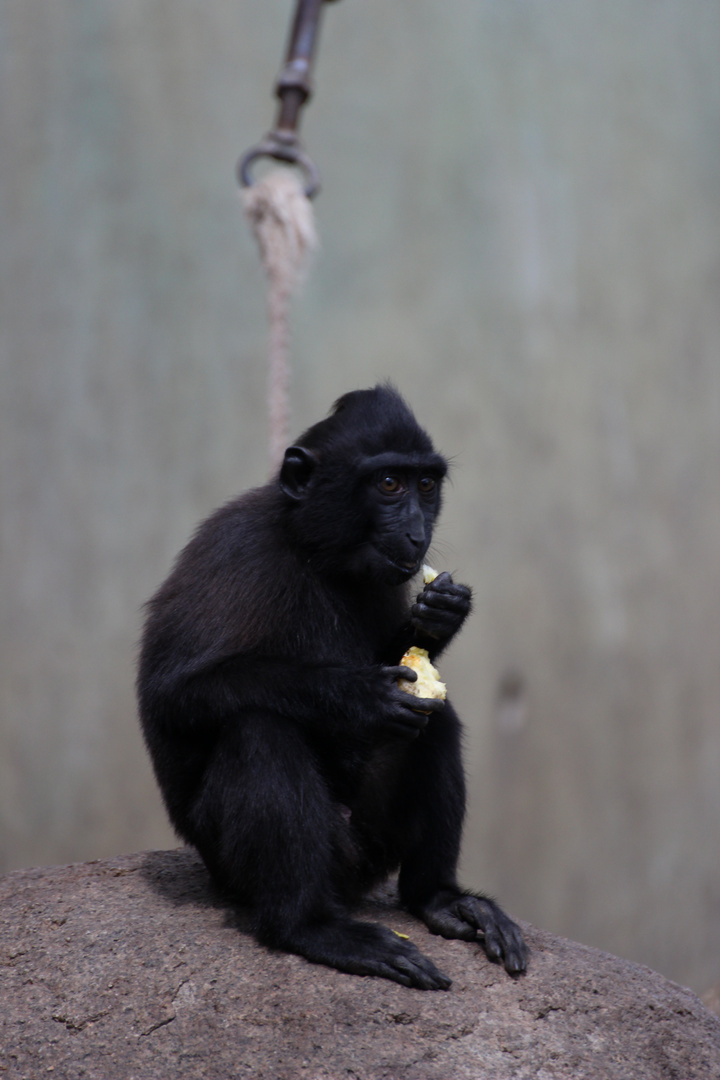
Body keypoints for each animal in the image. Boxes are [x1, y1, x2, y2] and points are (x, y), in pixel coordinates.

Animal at [138, 386, 526, 989]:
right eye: (388, 484)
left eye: (425, 484)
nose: (417, 534)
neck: (313, 551)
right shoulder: (236, 548)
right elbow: (173, 692)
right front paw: (360, 696)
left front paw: (442, 615)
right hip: (251, 859)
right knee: (258, 730)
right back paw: (310, 927)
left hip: (367, 848)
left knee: (435, 722)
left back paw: (439, 899)